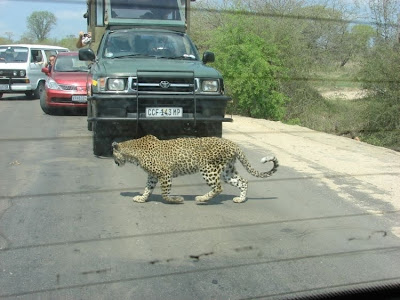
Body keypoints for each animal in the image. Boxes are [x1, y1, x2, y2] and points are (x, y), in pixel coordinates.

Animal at [111, 135, 280, 204]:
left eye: (113, 154)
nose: (115, 163)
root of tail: (232, 143)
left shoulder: (165, 173)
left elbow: (165, 193)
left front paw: (175, 200)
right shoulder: (152, 176)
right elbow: (147, 189)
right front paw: (141, 198)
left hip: (208, 168)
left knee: (218, 187)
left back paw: (201, 199)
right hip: (227, 171)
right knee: (243, 182)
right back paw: (240, 199)